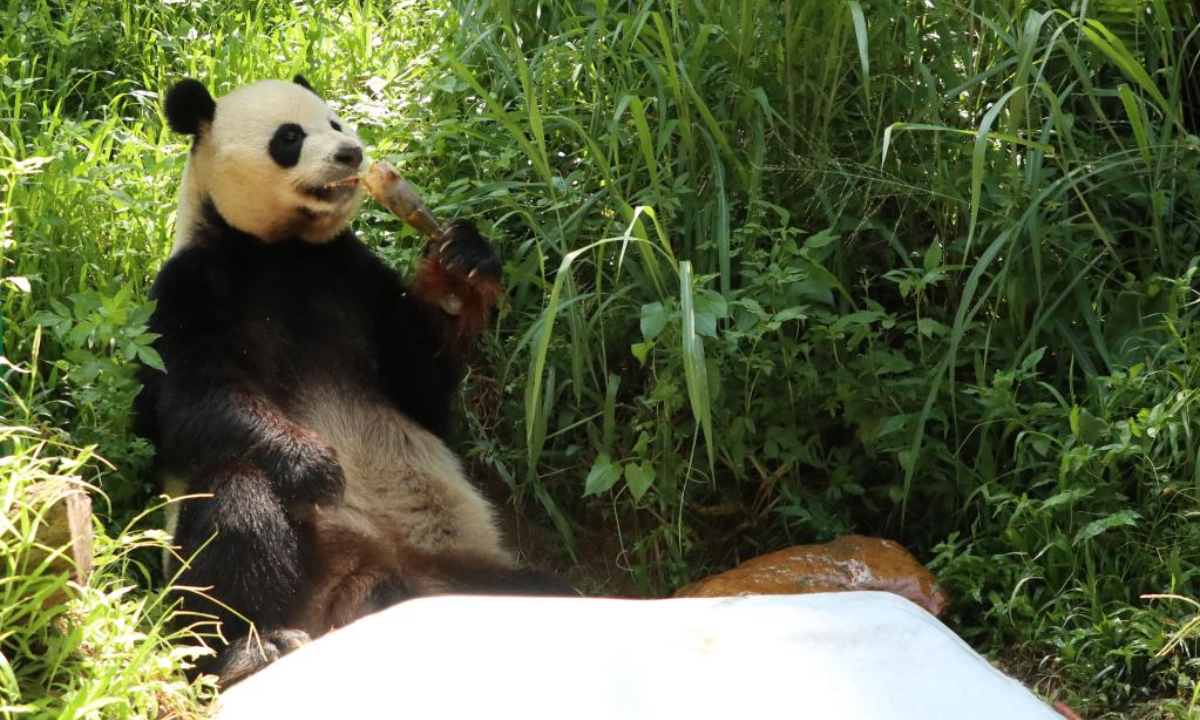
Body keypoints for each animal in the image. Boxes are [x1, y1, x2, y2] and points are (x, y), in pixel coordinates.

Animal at [133, 74, 564, 686]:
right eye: (290, 137)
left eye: (335, 122)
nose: (351, 154)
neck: (280, 250)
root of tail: (366, 584)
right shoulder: (190, 287)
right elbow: (186, 399)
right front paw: (314, 466)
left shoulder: (352, 274)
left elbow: (423, 393)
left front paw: (461, 267)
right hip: (300, 561)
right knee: (235, 506)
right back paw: (248, 649)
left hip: (470, 568)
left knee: (541, 589)